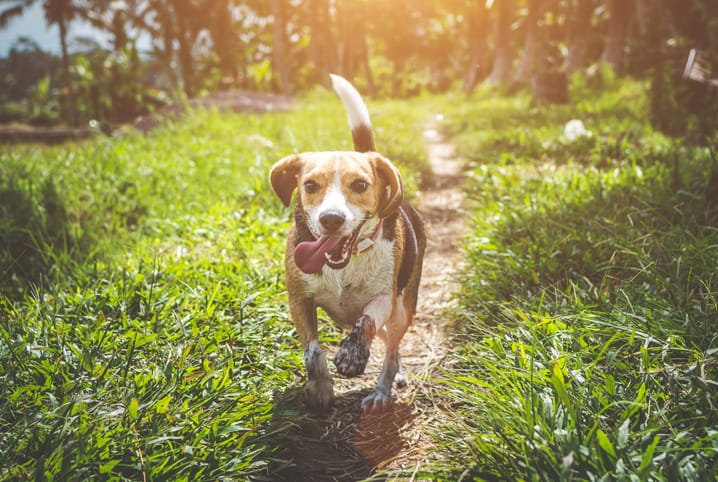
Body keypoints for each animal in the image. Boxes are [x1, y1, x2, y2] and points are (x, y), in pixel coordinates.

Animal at [270, 73, 428, 412]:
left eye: (360, 184)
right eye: (310, 185)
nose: (331, 219)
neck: (345, 264)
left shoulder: (384, 298)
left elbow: (366, 321)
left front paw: (352, 355)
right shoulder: (298, 300)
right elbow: (313, 351)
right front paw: (320, 387)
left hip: (403, 309)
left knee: (391, 349)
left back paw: (382, 390)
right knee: (388, 342)